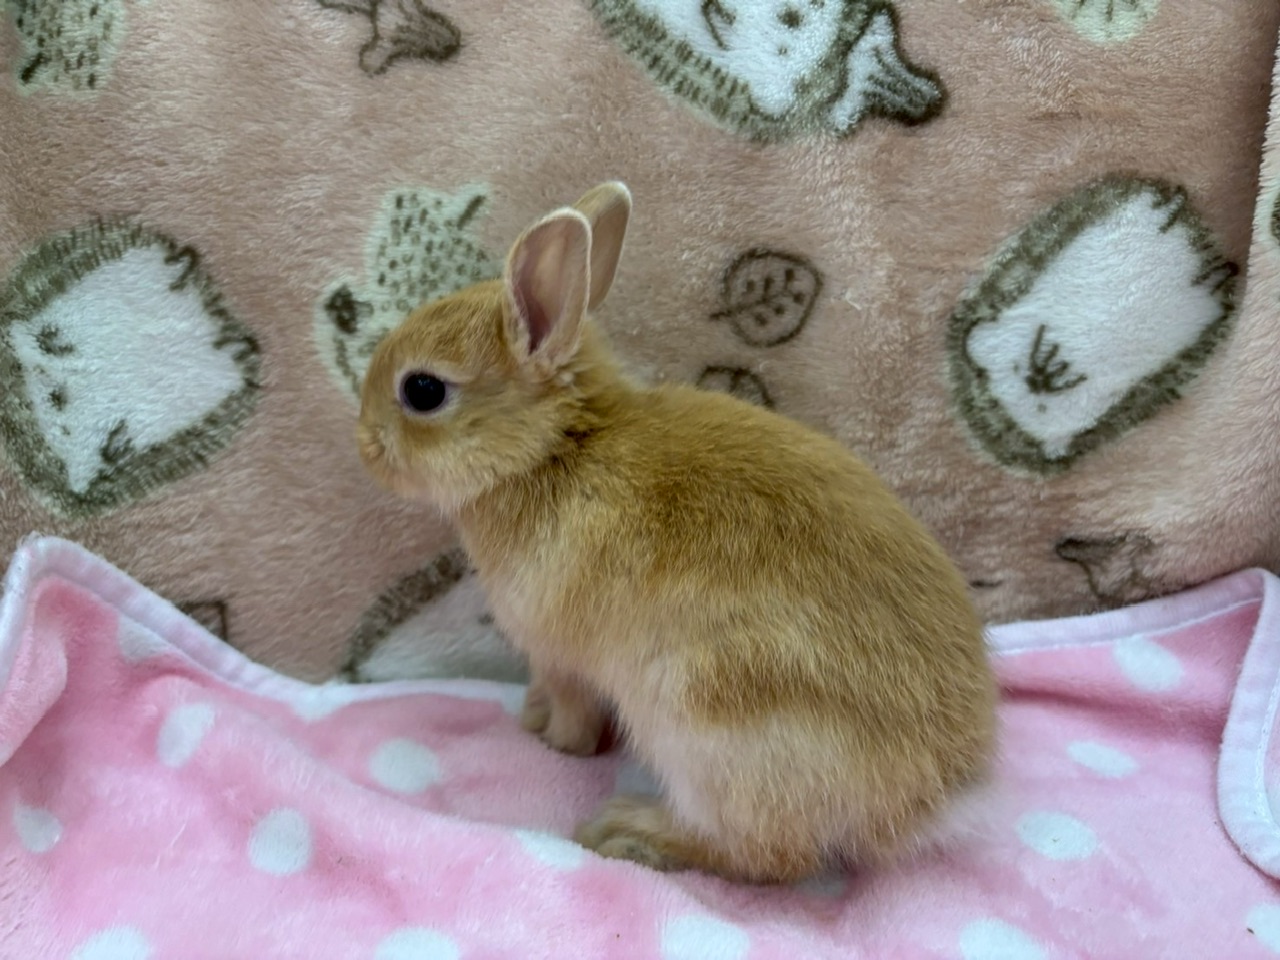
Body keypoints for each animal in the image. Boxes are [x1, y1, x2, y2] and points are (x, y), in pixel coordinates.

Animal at [356, 182, 999, 884]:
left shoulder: (562, 656)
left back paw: (628, 832)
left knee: (767, 853)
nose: (364, 444)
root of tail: (930, 800)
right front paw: (531, 716)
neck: (552, 449)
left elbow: (575, 713)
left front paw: (555, 740)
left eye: (422, 390)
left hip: (707, 719)